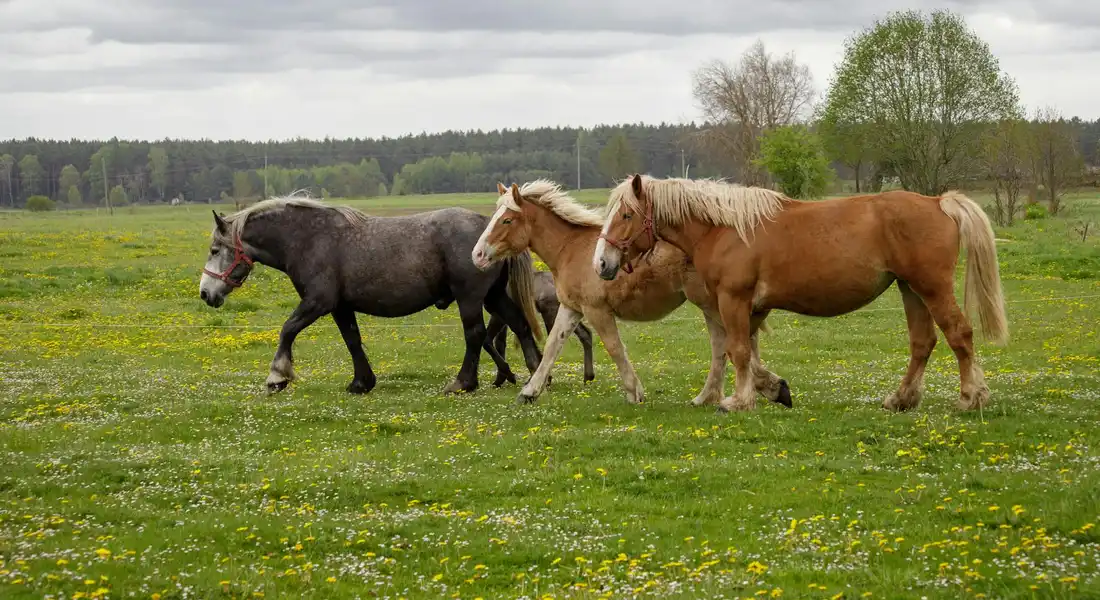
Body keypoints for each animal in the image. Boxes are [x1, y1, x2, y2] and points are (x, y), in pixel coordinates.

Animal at [197, 195, 546, 395]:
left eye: (215, 250)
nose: (205, 293)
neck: (309, 238)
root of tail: (489, 227)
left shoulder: (318, 302)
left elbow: (287, 330)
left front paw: (277, 376)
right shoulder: (340, 306)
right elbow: (352, 340)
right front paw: (362, 382)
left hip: (471, 298)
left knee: (475, 335)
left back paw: (463, 383)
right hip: (493, 296)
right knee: (519, 325)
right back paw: (536, 372)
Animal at [471, 180, 759, 408]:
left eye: (507, 219)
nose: (478, 255)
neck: (570, 249)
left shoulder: (597, 311)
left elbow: (614, 348)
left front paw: (635, 392)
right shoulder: (570, 309)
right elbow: (554, 344)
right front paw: (530, 392)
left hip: (711, 303)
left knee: (729, 343)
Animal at [593, 174, 1008, 414]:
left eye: (626, 215)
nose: (602, 263)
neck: (724, 229)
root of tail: (938, 202)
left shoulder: (733, 299)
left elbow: (737, 351)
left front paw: (738, 401)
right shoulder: (752, 308)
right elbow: (747, 353)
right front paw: (770, 389)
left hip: (932, 288)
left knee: (959, 335)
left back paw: (970, 397)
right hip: (911, 290)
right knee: (923, 343)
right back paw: (901, 399)